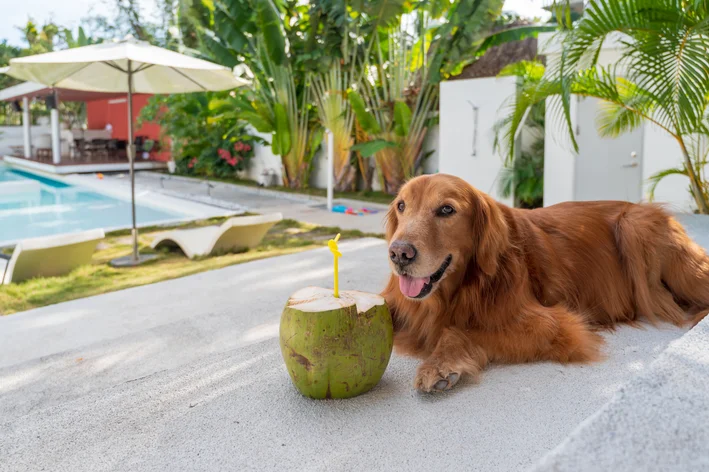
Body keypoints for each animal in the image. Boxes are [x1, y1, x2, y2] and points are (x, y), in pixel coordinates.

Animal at [382, 173, 708, 390]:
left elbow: (458, 329)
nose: (399, 253)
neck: (459, 288)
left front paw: (440, 363)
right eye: (401, 206)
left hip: (638, 228)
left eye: (447, 209)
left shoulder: (554, 326)